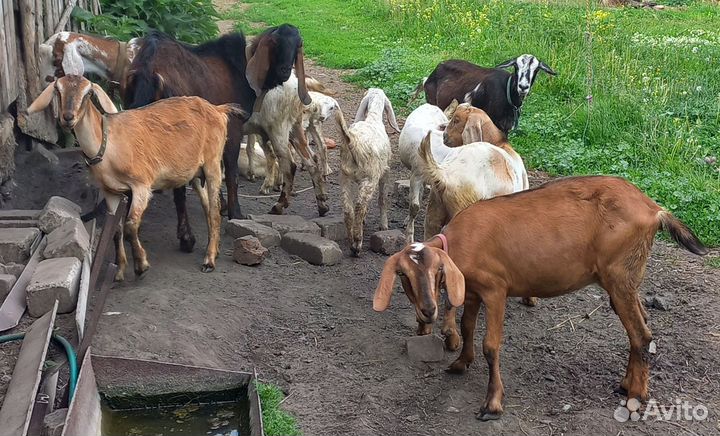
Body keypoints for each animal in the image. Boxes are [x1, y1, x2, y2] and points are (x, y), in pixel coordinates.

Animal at [23, 75, 247, 279]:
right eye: (58, 90)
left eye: (88, 93)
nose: (68, 117)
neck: (108, 144)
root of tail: (218, 110)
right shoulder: (111, 192)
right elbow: (116, 229)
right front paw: (120, 270)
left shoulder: (141, 185)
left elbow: (131, 225)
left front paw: (141, 265)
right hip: (194, 173)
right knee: (209, 207)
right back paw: (214, 249)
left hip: (212, 164)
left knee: (215, 212)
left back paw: (209, 261)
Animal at [335, 88, 400, 256]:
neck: (373, 117)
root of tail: (353, 141)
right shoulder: (384, 172)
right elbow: (383, 199)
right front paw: (384, 225)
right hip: (370, 177)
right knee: (359, 206)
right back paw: (357, 243)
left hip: (345, 176)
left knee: (348, 209)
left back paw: (351, 240)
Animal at [373, 175, 708, 421]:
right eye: (403, 275)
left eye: (437, 270)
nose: (427, 311)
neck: (463, 242)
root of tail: (654, 209)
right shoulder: (472, 291)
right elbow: (468, 327)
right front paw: (460, 363)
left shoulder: (495, 289)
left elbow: (491, 345)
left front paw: (492, 404)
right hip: (624, 280)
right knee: (641, 325)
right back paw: (627, 384)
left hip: (620, 275)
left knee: (641, 333)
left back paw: (636, 395)